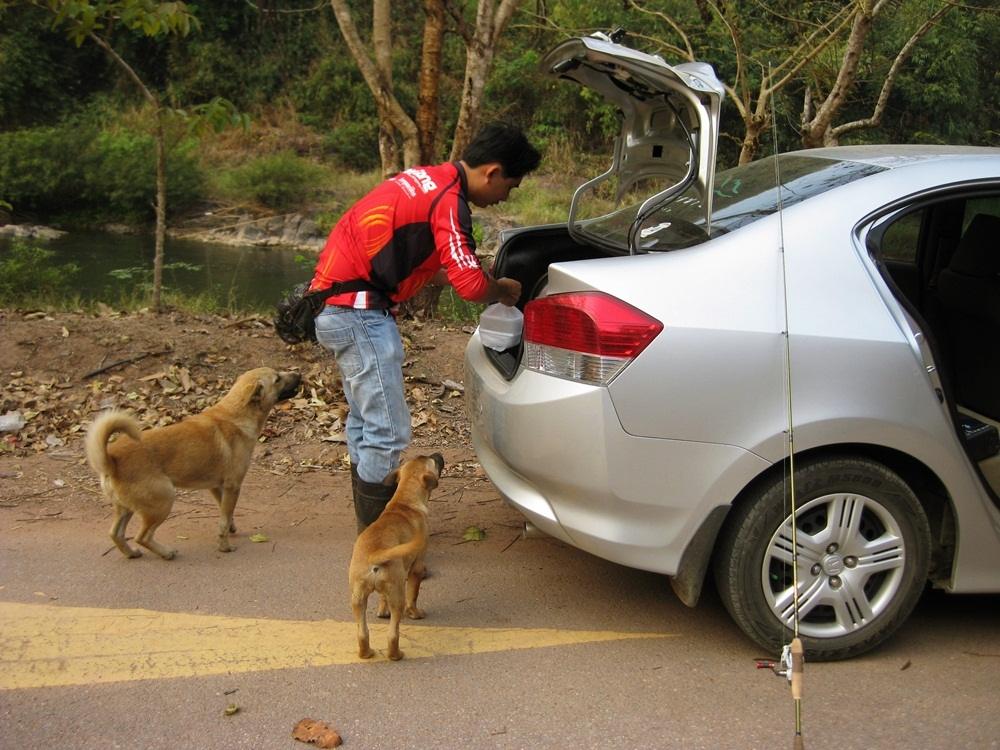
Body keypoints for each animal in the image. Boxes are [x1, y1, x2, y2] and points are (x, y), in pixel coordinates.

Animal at [85, 368, 300, 560]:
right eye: (277, 378)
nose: (299, 374)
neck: (235, 414)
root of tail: (111, 459)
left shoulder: (217, 487)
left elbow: (226, 513)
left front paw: (231, 528)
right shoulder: (232, 486)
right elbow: (223, 522)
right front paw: (224, 547)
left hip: (126, 508)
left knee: (116, 534)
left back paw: (131, 553)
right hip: (163, 501)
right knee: (142, 537)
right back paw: (166, 553)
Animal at [352, 456, 446, 660]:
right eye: (433, 462)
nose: (439, 454)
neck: (404, 501)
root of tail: (375, 554)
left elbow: (382, 598)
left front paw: (382, 611)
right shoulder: (417, 567)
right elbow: (414, 594)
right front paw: (415, 613)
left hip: (358, 598)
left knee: (362, 633)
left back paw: (366, 653)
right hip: (397, 597)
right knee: (392, 634)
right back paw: (395, 655)